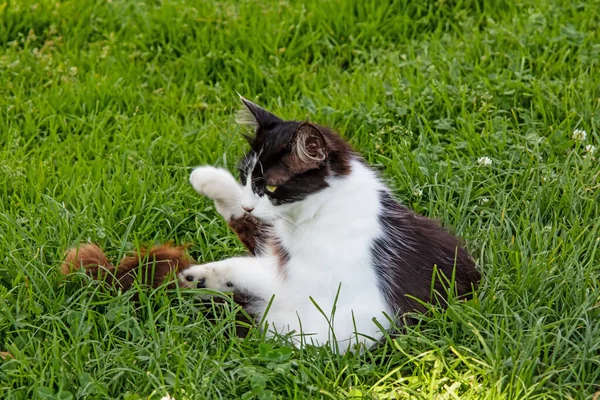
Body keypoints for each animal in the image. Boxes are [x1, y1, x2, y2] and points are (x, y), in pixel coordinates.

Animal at [180, 97, 480, 354]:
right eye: (245, 177)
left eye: (272, 187)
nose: (247, 205)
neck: (323, 208)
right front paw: (209, 179)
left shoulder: (333, 305)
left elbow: (250, 270)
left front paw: (197, 275)